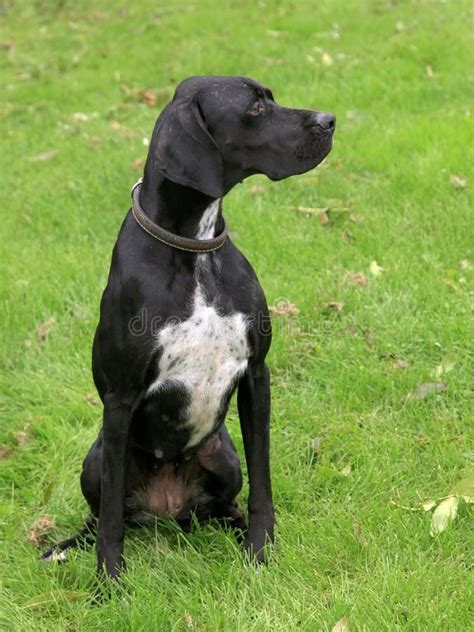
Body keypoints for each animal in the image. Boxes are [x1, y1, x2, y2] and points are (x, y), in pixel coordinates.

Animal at [42, 76, 336, 580]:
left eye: (270, 97)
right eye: (254, 108)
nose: (330, 119)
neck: (193, 249)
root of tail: (168, 510)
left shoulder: (256, 376)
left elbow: (262, 482)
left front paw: (260, 549)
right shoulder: (120, 399)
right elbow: (111, 521)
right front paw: (109, 582)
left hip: (223, 455)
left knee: (223, 505)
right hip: (96, 458)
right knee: (102, 515)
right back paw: (65, 546)